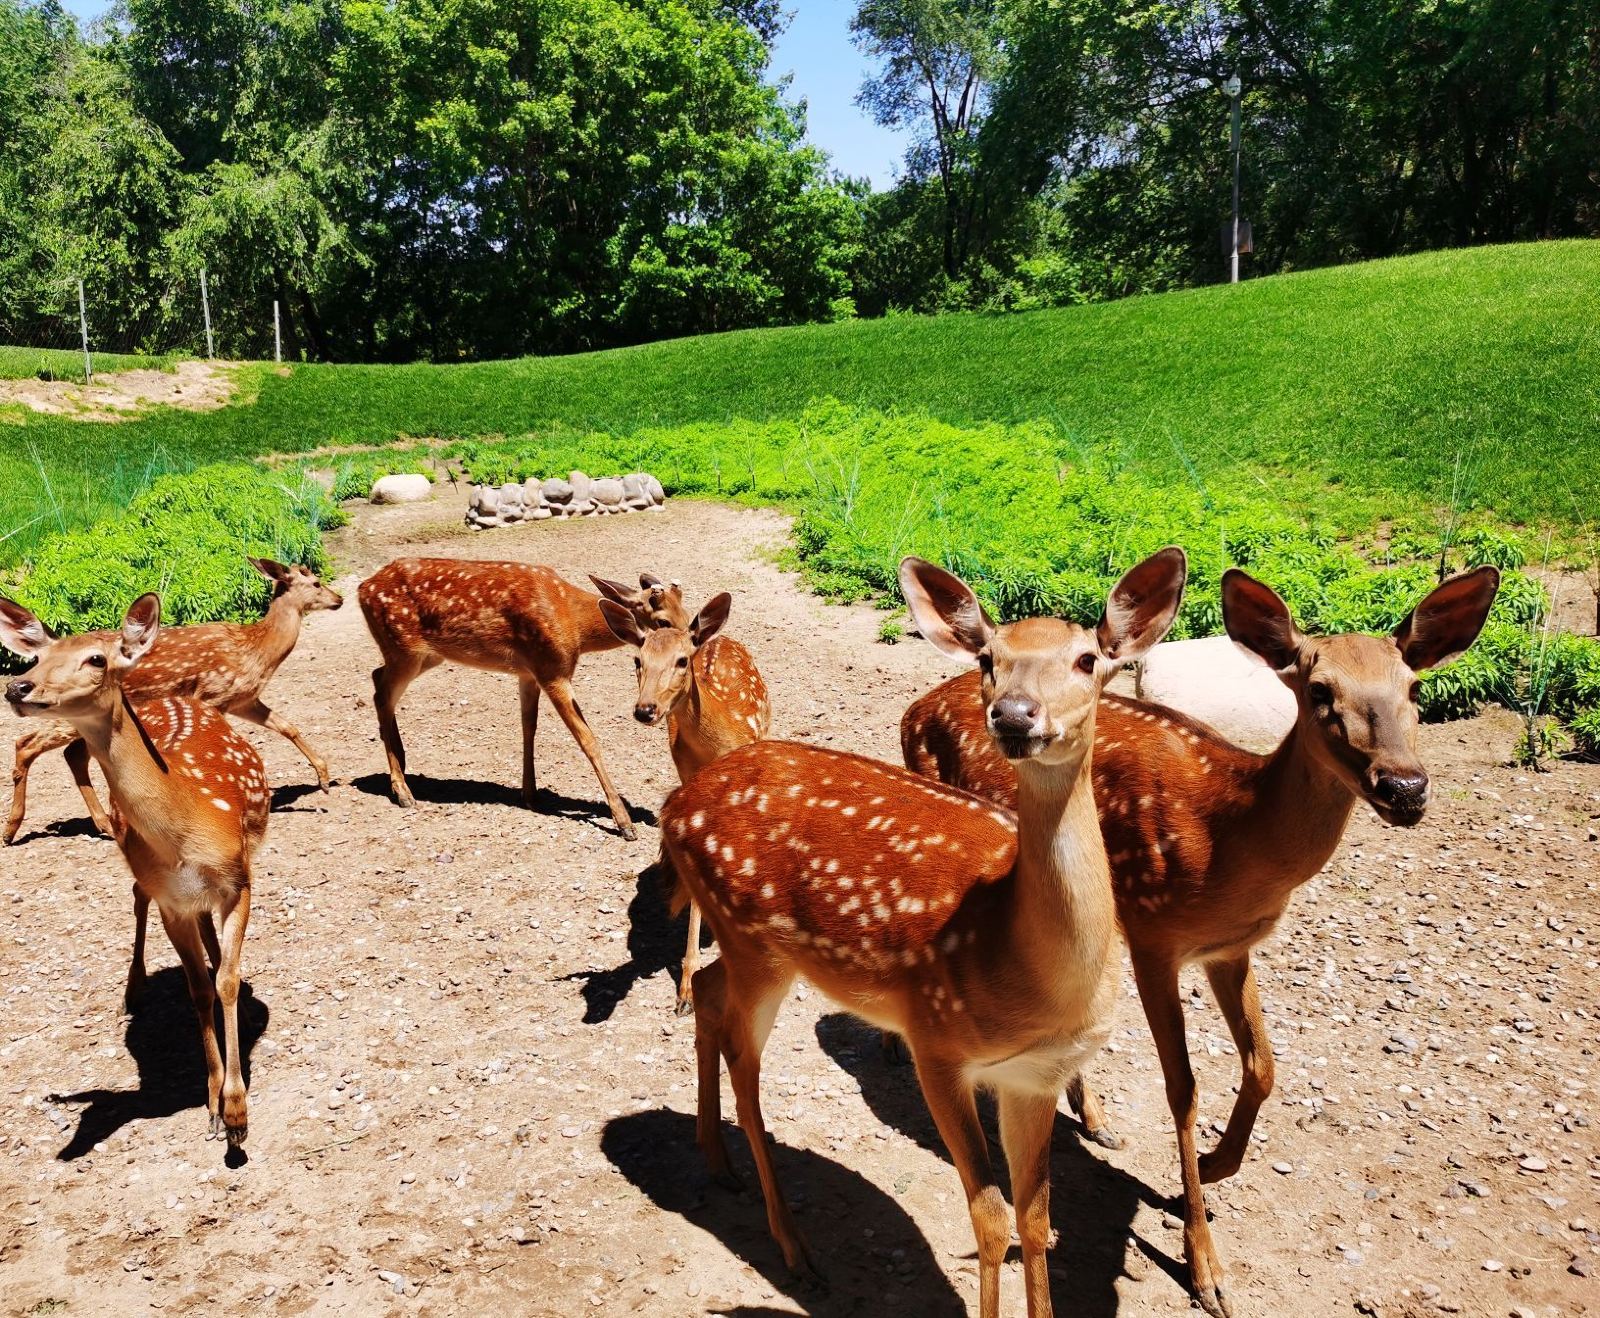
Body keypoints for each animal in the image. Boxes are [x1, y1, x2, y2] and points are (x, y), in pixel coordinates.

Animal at [2, 593, 270, 1149]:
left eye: (96, 659)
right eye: (37, 657)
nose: (19, 686)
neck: (188, 829)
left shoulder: (240, 881)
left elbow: (227, 983)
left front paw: (237, 1114)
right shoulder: (171, 901)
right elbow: (198, 990)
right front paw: (214, 1105)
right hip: (142, 868)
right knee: (137, 894)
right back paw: (135, 988)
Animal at [4, 557, 343, 846]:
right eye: (315, 582)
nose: (338, 599)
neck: (255, 650)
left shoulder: (244, 699)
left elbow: (288, 727)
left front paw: (324, 779)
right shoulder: (212, 694)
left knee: (70, 753)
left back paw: (100, 824)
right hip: (65, 714)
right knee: (27, 743)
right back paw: (12, 830)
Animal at [358, 560, 689, 838]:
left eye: (686, 613)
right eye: (662, 621)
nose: (688, 647)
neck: (576, 626)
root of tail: (362, 588)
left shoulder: (528, 672)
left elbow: (528, 726)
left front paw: (530, 794)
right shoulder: (552, 670)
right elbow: (588, 739)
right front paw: (624, 823)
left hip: (426, 655)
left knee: (376, 677)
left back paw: (402, 762)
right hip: (404, 649)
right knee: (381, 693)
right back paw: (402, 791)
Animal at [659, 548, 1187, 1318]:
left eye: (1088, 658)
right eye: (990, 659)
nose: (1014, 714)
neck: (1026, 969)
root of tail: (674, 805)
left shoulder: (1035, 1076)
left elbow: (1037, 1220)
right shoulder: (936, 1043)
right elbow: (991, 1218)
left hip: (752, 945)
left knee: (704, 987)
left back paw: (716, 1161)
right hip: (754, 939)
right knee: (743, 1059)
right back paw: (793, 1247)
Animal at [899, 565, 1500, 1317]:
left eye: (1414, 689)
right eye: (1319, 690)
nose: (1405, 786)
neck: (1230, 835)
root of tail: (914, 708)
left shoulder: (1230, 947)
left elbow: (1264, 1064)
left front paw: (1217, 1164)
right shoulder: (1155, 935)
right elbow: (1182, 1086)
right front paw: (1204, 1263)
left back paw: (1093, 1114)